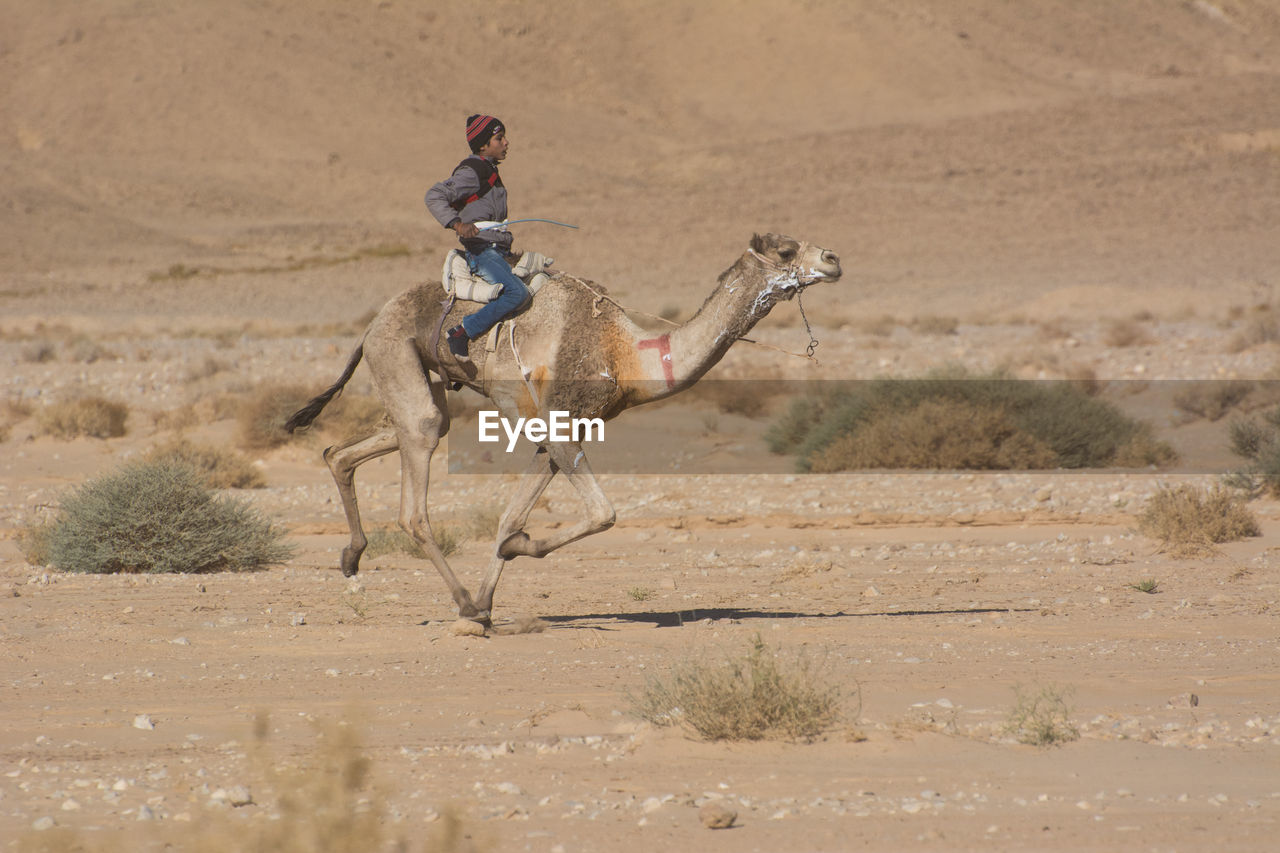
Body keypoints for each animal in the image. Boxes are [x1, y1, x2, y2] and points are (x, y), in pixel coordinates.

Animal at [289, 233, 844, 625]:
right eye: (787, 249)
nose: (834, 258)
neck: (627, 355)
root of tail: (369, 325)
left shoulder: (563, 430)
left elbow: (509, 517)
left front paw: (491, 600)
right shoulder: (558, 423)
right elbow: (603, 513)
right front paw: (499, 579)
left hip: (416, 378)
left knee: (351, 449)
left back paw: (354, 559)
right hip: (394, 352)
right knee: (415, 497)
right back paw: (459, 601)